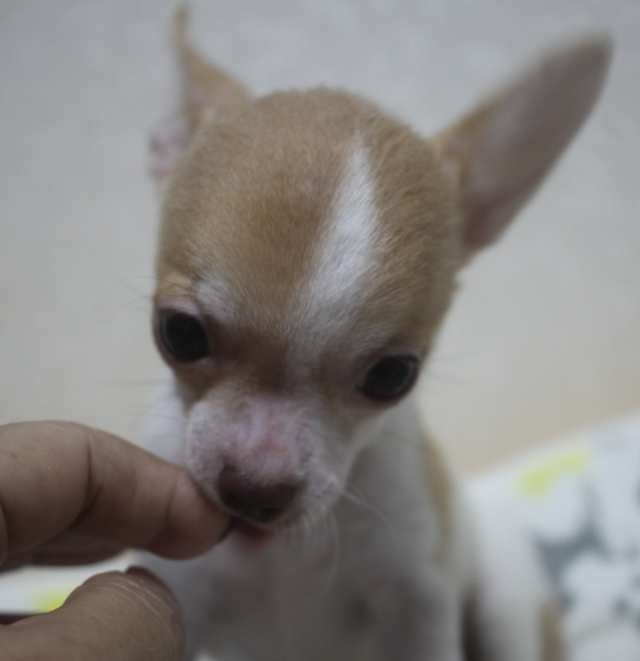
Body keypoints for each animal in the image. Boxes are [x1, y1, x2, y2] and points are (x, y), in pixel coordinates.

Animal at [142, 7, 611, 660]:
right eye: (180, 334)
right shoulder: (180, 599)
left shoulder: (416, 602)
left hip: (508, 605)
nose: (256, 487)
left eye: (392, 377)